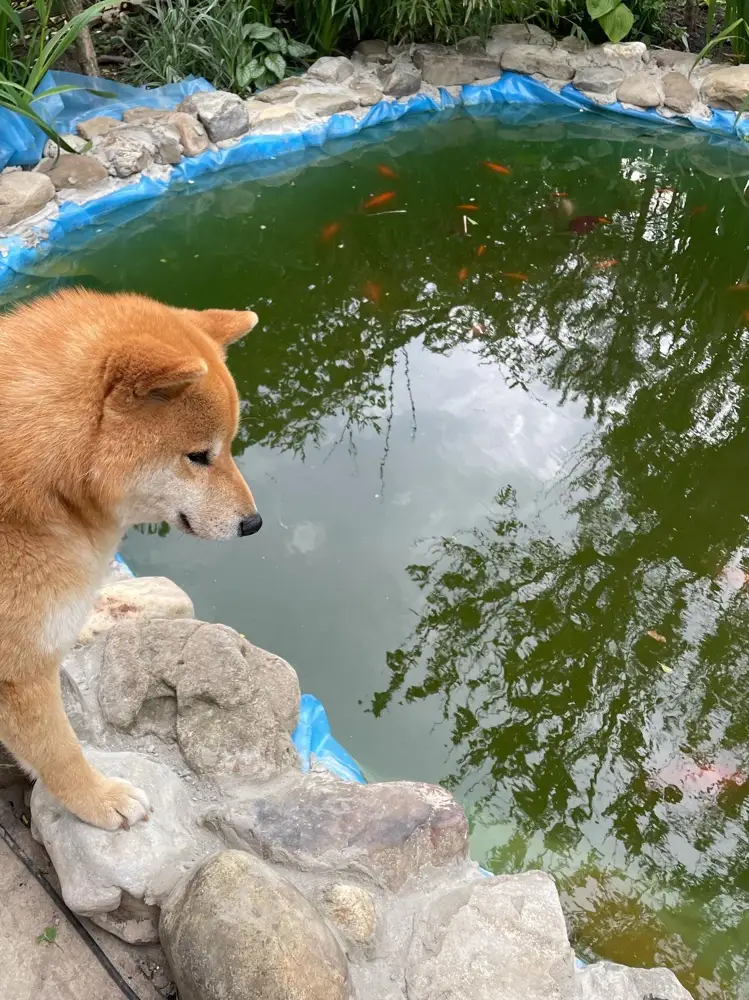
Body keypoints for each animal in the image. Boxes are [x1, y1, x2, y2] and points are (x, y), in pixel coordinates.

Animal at [0, 290, 260, 828]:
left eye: (227, 447)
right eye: (199, 455)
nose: (254, 523)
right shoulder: (22, 669)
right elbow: (60, 750)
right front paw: (100, 800)